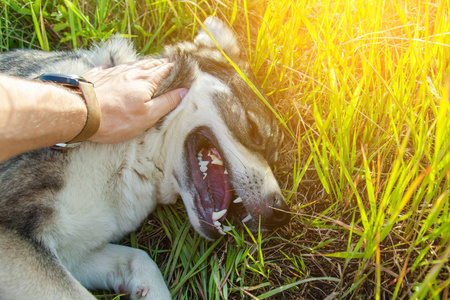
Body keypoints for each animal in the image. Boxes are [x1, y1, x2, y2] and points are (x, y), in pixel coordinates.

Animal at [0, 17, 288, 298]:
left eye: (273, 156)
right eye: (254, 130)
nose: (281, 213)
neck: (132, 157)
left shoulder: (73, 252)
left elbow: (142, 260)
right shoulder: (19, 241)